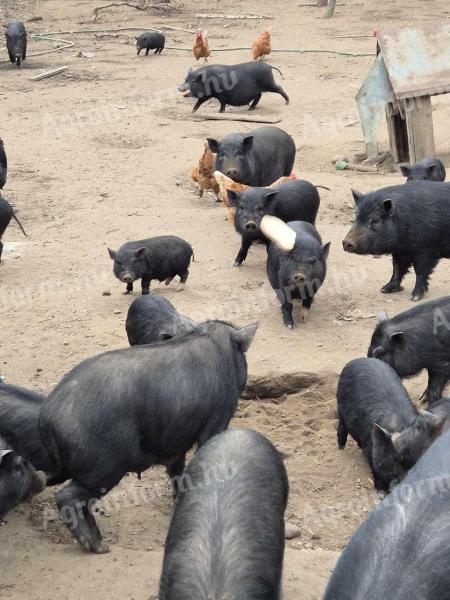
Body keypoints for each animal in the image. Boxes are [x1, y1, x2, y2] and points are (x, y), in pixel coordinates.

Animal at [39, 318, 256, 552]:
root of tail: (47, 418)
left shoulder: (177, 439)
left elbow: (178, 471)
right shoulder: (217, 419)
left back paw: (99, 537)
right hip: (104, 468)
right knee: (66, 497)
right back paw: (98, 547)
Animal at [338, 358, 442, 490]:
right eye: (395, 459)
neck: (402, 425)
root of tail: (358, 360)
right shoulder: (370, 448)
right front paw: (381, 490)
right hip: (340, 406)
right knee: (342, 428)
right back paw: (340, 448)